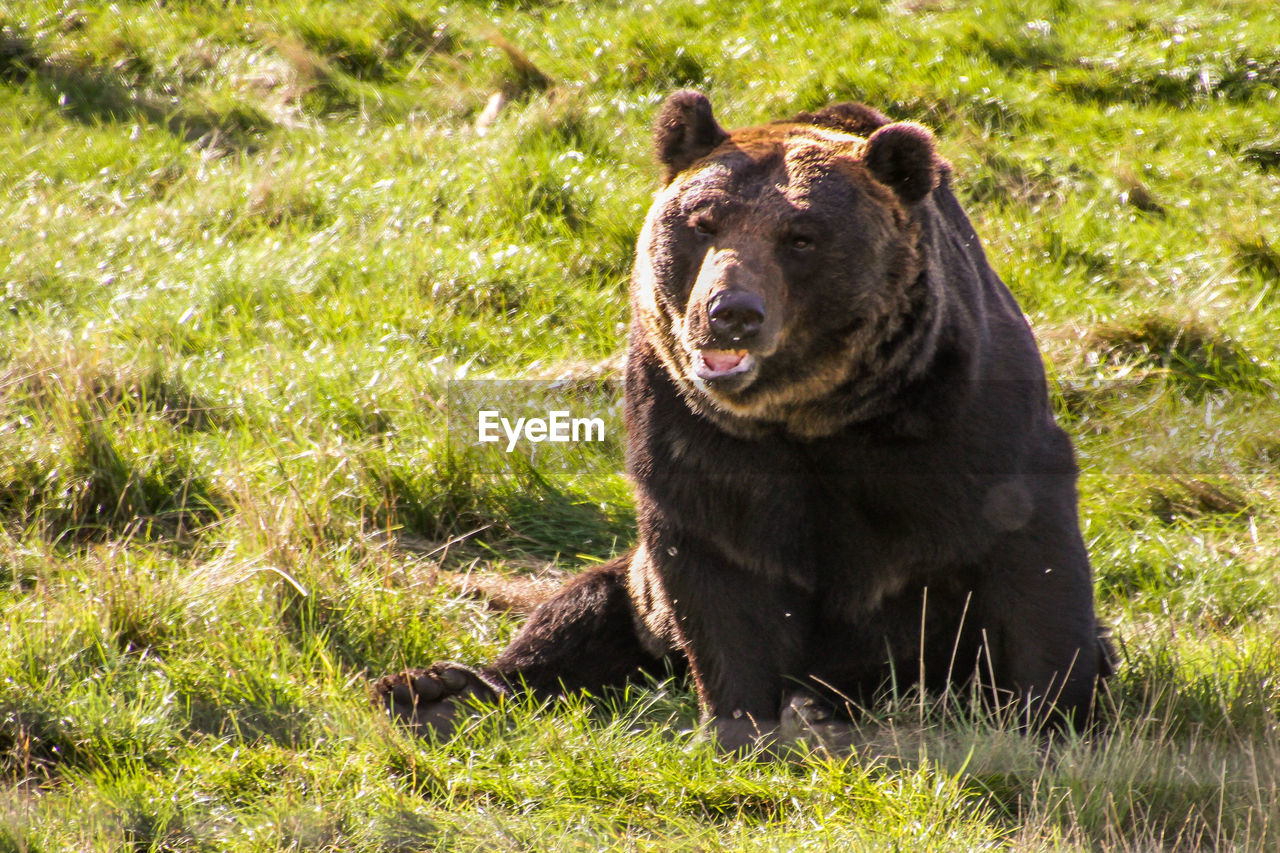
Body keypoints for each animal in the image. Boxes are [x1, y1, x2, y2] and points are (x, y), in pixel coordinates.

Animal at [371, 89, 1111, 747]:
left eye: (801, 237)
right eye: (703, 223)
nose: (730, 311)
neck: (812, 413)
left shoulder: (957, 417)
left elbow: (1032, 562)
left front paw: (1055, 718)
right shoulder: (696, 432)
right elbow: (721, 576)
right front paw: (741, 726)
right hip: (640, 596)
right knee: (580, 613)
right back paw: (434, 691)